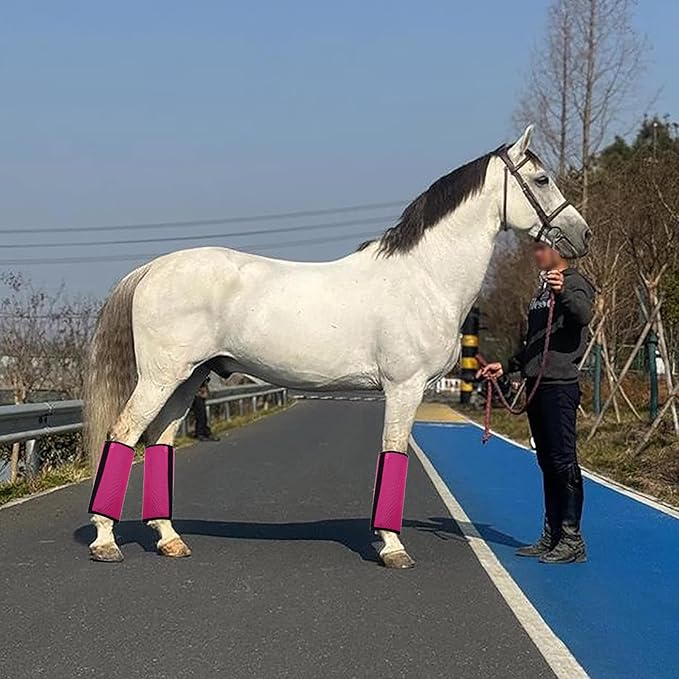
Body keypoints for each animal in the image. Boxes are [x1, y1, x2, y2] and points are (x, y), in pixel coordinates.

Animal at [85, 125, 591, 568]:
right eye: (541, 179)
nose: (582, 235)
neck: (423, 278)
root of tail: (152, 268)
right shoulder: (404, 387)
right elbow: (394, 453)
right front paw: (392, 547)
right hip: (161, 377)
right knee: (123, 433)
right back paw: (105, 540)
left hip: (189, 378)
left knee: (159, 440)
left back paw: (169, 539)